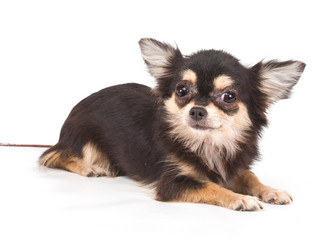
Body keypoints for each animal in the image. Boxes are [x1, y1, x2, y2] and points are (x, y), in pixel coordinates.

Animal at [40, 38, 306, 211]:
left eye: (229, 96)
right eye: (182, 90)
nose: (197, 110)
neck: (208, 144)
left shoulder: (232, 169)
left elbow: (250, 176)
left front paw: (271, 190)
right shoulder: (172, 183)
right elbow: (210, 187)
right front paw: (240, 198)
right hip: (83, 140)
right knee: (53, 156)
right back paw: (89, 168)